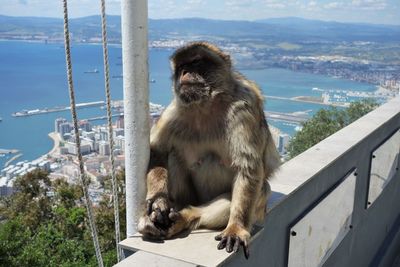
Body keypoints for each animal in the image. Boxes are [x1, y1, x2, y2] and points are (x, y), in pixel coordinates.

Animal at [138, 41, 282, 260]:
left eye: (196, 62)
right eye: (181, 67)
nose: (185, 72)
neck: (206, 105)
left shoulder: (243, 109)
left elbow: (247, 168)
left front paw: (236, 229)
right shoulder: (174, 111)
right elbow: (158, 151)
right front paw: (158, 201)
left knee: (259, 189)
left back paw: (184, 218)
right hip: (191, 196)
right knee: (173, 156)